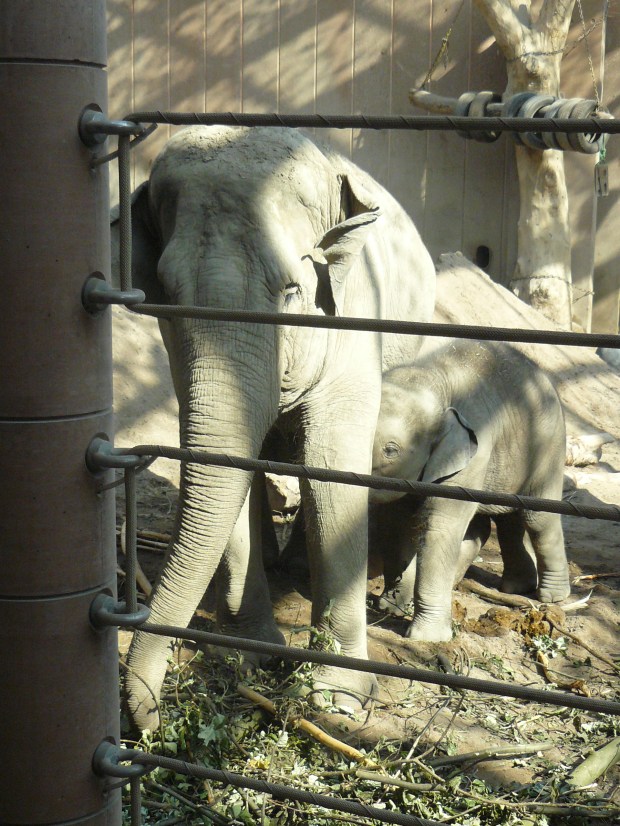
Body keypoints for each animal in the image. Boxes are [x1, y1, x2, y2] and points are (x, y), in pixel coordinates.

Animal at [120, 125, 436, 729]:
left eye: (291, 289)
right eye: (166, 292)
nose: (147, 721)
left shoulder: (355, 315)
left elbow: (332, 466)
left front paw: (338, 699)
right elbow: (223, 460)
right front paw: (249, 659)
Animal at [370, 338, 570, 642]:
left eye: (390, 450)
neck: (430, 379)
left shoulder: (475, 453)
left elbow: (440, 526)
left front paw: (425, 637)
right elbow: (396, 521)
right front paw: (391, 606)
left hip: (548, 447)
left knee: (537, 518)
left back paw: (552, 597)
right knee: (501, 521)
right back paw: (516, 587)